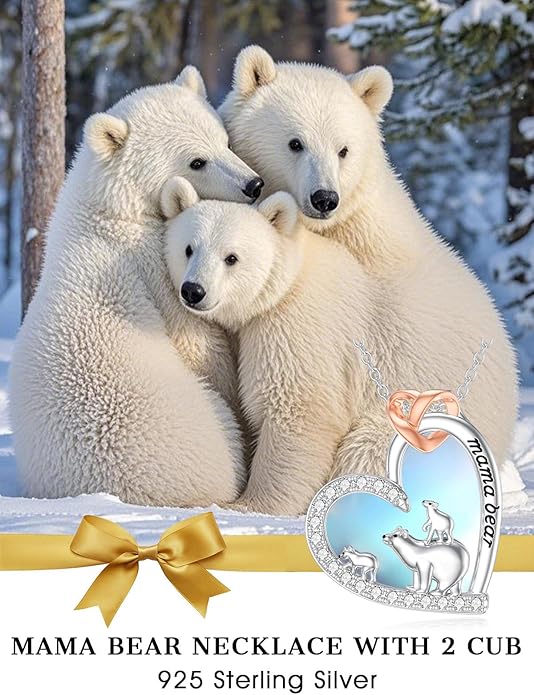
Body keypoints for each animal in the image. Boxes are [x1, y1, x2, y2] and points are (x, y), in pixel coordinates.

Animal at [8, 67, 262, 506]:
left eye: (225, 141)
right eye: (197, 161)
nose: (253, 185)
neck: (109, 211)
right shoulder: (155, 264)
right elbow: (201, 343)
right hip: (195, 423)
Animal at [164, 180, 516, 515]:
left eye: (231, 258)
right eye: (188, 248)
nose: (193, 290)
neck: (288, 280)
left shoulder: (299, 325)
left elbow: (296, 407)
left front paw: (250, 505)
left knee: (367, 447)